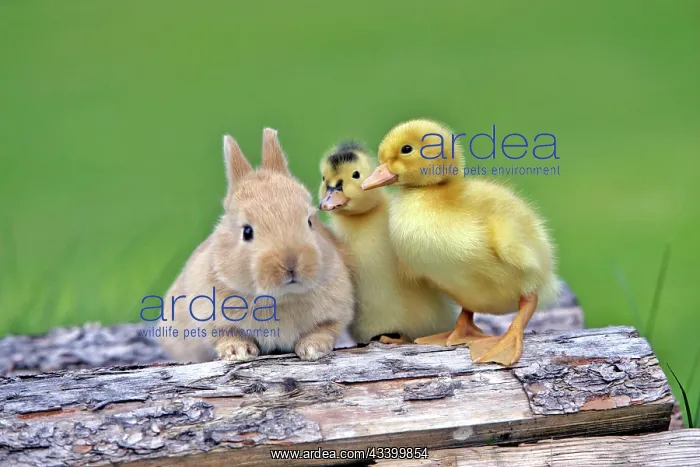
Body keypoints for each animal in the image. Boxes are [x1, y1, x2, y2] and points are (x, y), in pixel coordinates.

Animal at [159, 128, 355, 362]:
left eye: (310, 221)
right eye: (247, 232)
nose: (291, 264)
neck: (281, 298)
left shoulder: (336, 312)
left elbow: (325, 329)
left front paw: (313, 349)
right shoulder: (211, 318)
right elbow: (225, 334)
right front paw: (239, 352)